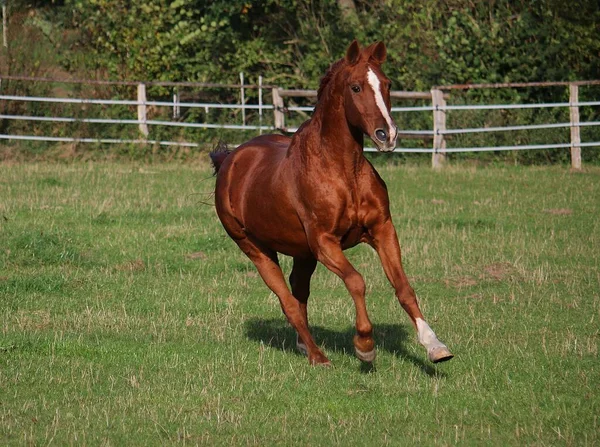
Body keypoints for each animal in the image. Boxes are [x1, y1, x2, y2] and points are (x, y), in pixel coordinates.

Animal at [209, 40, 452, 366]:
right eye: (355, 87)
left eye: (387, 84)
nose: (387, 135)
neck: (342, 172)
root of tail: (230, 160)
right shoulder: (325, 243)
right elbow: (357, 281)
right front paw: (365, 345)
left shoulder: (382, 229)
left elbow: (403, 287)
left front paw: (434, 346)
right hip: (256, 250)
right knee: (288, 301)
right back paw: (317, 356)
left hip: (302, 253)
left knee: (299, 292)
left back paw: (304, 345)